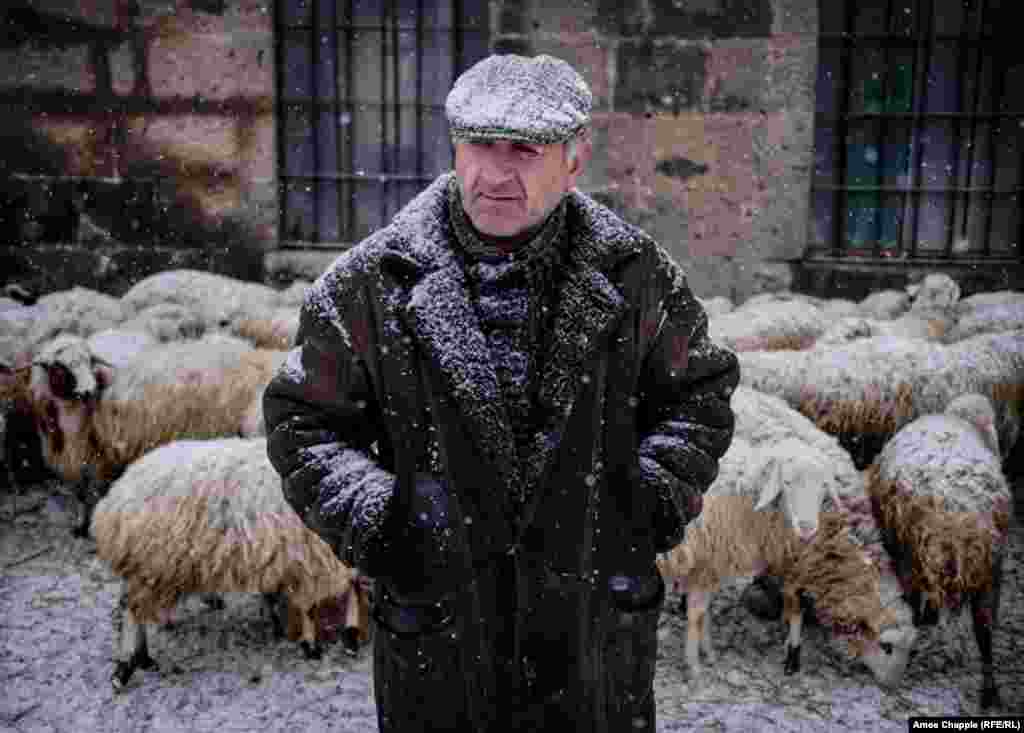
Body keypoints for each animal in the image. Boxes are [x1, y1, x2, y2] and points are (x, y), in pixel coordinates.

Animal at [90, 438, 364, 692]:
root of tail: (113, 502)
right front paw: (320, 644)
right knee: (131, 612)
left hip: (149, 568)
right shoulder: (315, 556)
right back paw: (124, 667)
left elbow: (346, 587)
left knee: (133, 608)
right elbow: (317, 601)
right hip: (156, 565)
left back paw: (143, 658)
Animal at [864, 395, 1015, 708]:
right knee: (984, 628)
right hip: (982, 566)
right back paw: (989, 691)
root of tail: (955, 510)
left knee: (976, 625)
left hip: (933, 558)